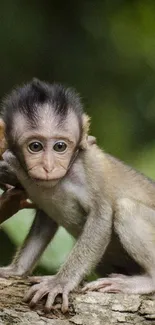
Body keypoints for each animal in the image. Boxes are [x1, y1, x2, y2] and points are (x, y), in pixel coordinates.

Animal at [0, 78, 155, 312]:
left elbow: (101, 217)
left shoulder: (90, 167)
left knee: (126, 207)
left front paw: (59, 282)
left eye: (60, 146)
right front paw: (16, 270)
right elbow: (45, 220)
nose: (48, 167)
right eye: (35, 146)